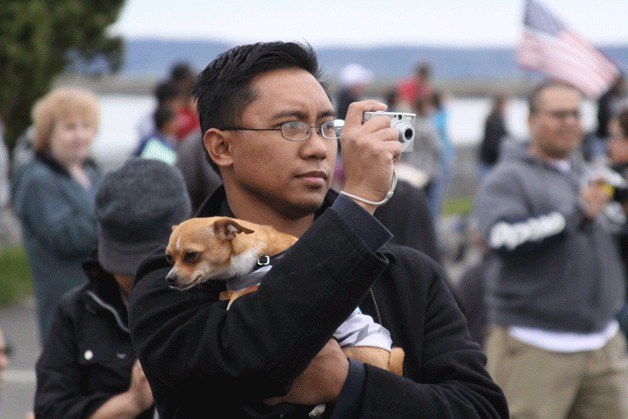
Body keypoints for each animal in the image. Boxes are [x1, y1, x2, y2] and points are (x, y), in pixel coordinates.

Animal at [164, 218, 404, 376]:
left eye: (191, 256)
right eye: (168, 258)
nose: (169, 279)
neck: (255, 257)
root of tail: (388, 364)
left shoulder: (265, 278)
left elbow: (250, 289)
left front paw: (234, 297)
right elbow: (230, 291)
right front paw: (227, 293)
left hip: (353, 352)